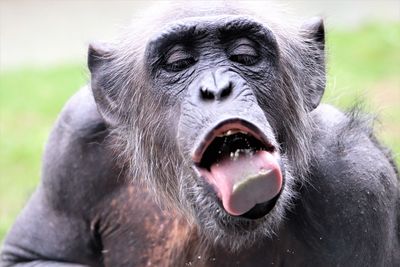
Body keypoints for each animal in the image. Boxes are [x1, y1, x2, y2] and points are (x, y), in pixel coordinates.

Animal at [1, 2, 398, 267]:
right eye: (178, 62)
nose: (217, 88)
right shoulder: (72, 144)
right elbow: (30, 255)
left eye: (244, 54)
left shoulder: (356, 181)